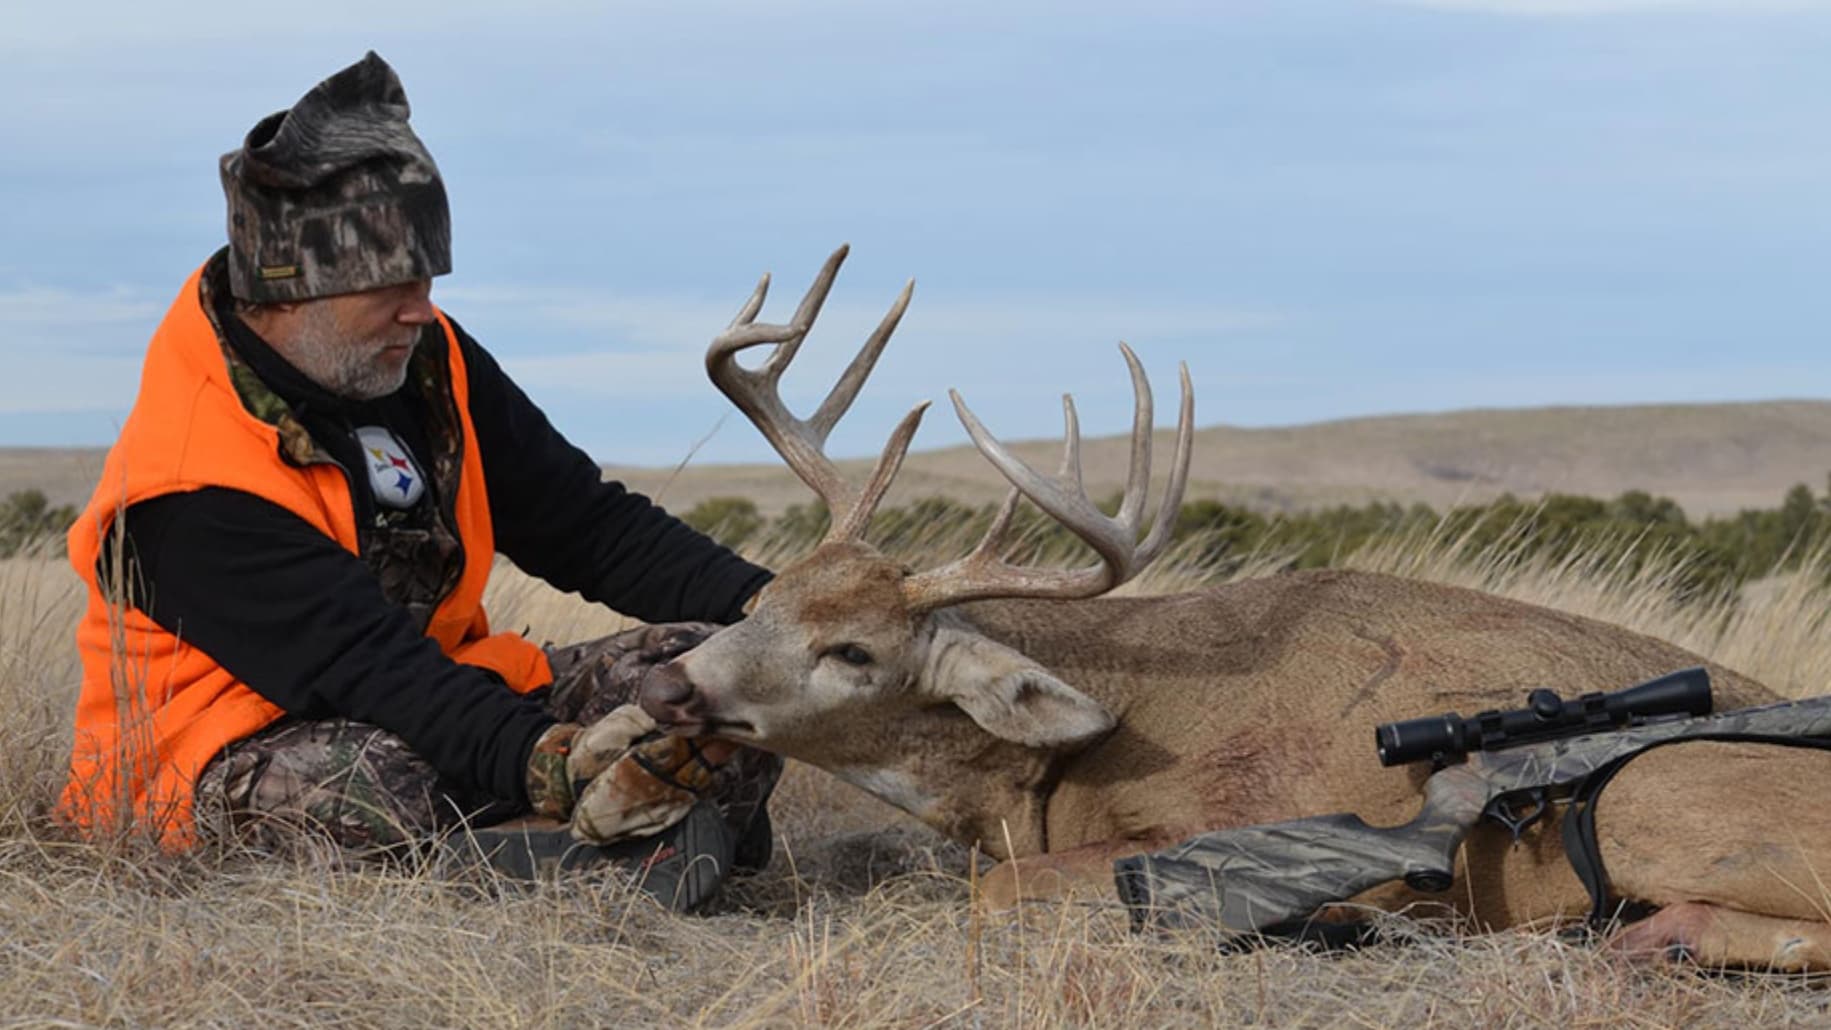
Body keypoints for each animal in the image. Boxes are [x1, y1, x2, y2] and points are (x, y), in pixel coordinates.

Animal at [642, 246, 1831, 969]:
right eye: (764, 592)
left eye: (852, 650)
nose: (667, 681)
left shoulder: (1210, 825)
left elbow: (997, 891)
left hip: (1650, 790)